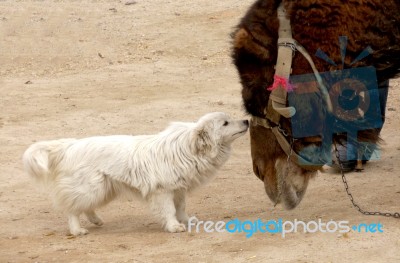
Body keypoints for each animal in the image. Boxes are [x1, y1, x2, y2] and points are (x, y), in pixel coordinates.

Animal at [22, 112, 247, 236]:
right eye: (225, 123)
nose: (246, 120)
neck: (187, 149)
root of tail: (69, 146)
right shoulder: (163, 192)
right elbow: (169, 211)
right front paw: (174, 226)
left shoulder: (178, 189)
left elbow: (181, 208)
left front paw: (186, 221)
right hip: (92, 188)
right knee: (72, 209)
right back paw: (77, 230)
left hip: (102, 189)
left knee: (84, 207)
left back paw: (96, 220)